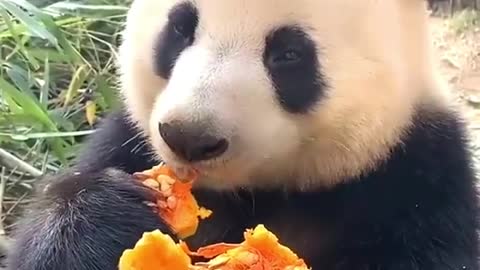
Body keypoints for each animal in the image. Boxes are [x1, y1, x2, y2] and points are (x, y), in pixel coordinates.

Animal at [4, 0, 480, 270]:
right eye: (180, 27)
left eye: (288, 53)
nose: (190, 137)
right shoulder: (126, 142)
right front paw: (109, 215)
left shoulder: (419, 185)